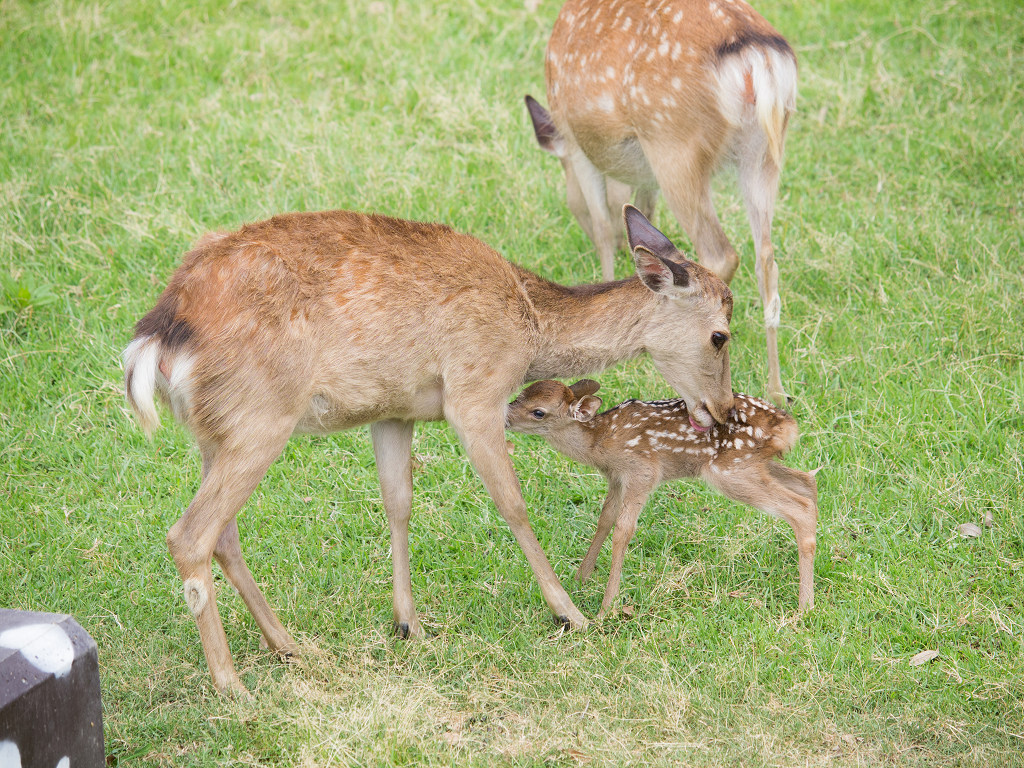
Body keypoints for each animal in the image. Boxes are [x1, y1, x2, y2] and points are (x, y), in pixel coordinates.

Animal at [123, 204, 737, 696]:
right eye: (721, 334)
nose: (725, 411)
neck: (528, 323)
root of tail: (155, 338)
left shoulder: (393, 410)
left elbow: (398, 502)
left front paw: (408, 624)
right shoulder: (475, 389)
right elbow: (512, 502)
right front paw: (571, 614)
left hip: (216, 431)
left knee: (222, 534)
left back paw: (295, 647)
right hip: (261, 417)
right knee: (189, 533)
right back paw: (233, 685)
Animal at [507, 378, 819, 618]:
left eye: (538, 412)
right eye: (520, 394)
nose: (504, 417)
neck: (600, 442)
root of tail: (787, 426)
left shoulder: (642, 471)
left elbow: (623, 530)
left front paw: (606, 607)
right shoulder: (616, 477)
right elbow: (605, 519)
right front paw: (580, 578)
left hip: (729, 470)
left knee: (800, 506)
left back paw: (804, 607)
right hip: (755, 465)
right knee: (808, 483)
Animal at [528, 0, 798, 409]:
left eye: (572, 206)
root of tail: (758, 61)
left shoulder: (575, 142)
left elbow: (604, 227)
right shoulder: (644, 172)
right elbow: (643, 209)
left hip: (674, 141)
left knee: (720, 253)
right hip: (764, 151)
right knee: (766, 259)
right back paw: (777, 391)